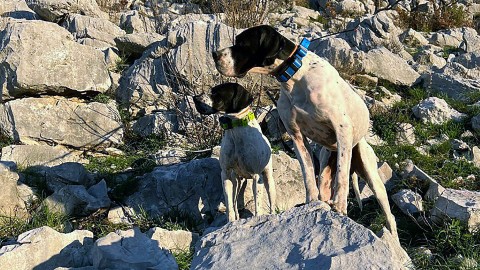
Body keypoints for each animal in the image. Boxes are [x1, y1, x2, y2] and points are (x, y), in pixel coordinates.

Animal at [193, 82, 276, 221]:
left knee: (271, 199)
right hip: (236, 181)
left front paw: (258, 217)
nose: (195, 98)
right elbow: (229, 204)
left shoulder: (256, 176)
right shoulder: (225, 174)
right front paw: (231, 221)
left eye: (216, 92)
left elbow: (257, 205)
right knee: (235, 202)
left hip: (267, 178)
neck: (235, 129)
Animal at [213, 24, 398, 236]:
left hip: (371, 174)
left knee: (389, 214)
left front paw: (340, 206)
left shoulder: (342, 129)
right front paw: (311, 202)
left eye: (243, 43)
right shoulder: (297, 137)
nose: (215, 54)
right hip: (325, 165)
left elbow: (342, 176)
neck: (295, 76)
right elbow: (308, 175)